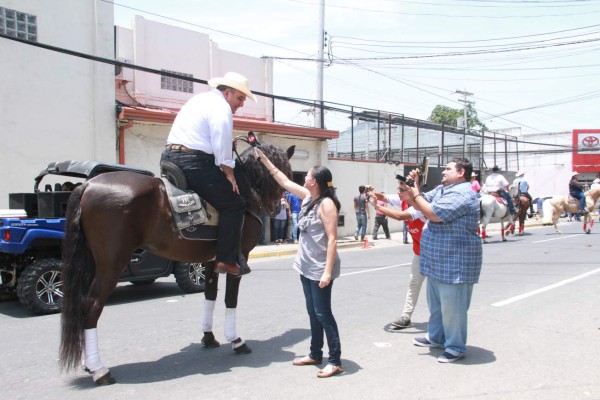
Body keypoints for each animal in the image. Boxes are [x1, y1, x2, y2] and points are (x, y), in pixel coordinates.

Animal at [59, 143, 294, 384]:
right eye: (281, 171)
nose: (276, 207)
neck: (244, 191)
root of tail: (88, 185)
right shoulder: (238, 259)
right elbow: (230, 299)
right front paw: (236, 340)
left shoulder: (212, 261)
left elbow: (210, 295)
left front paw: (208, 337)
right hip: (111, 264)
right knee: (91, 305)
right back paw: (100, 369)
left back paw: (89, 363)